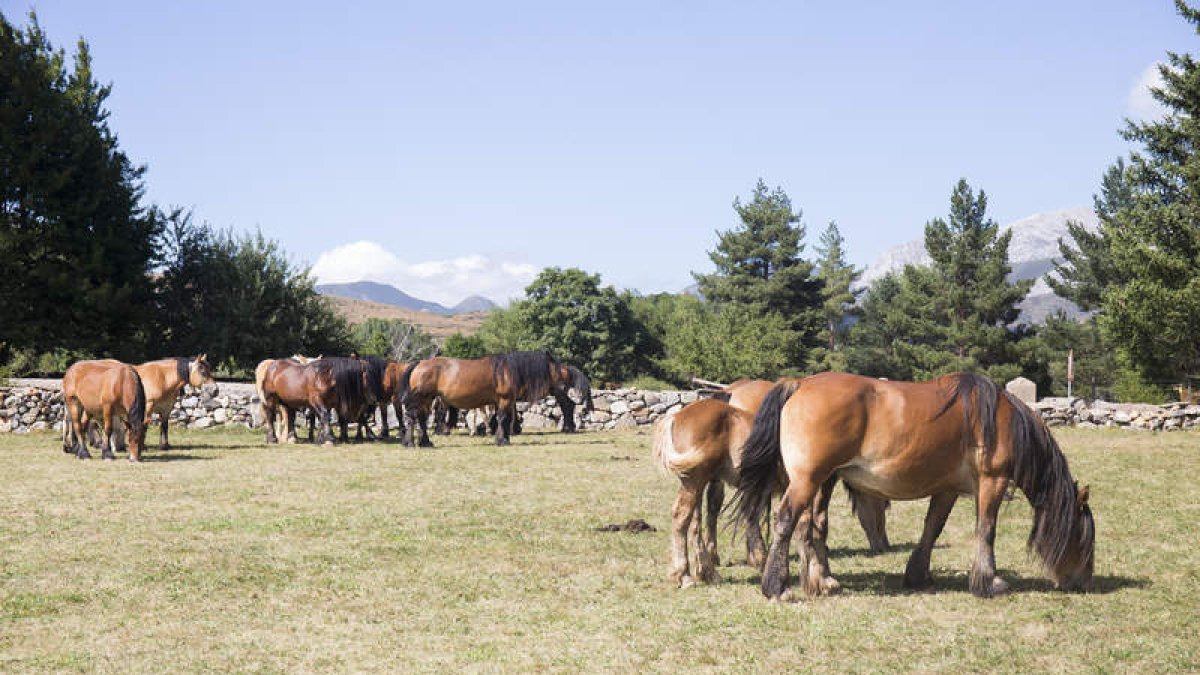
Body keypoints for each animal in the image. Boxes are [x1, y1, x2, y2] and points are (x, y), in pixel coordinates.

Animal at [398, 351, 585, 447]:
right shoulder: (504, 399)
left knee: (421, 419)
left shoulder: (505, 401)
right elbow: (503, 418)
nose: (569, 374)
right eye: (557, 366)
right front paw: (502, 440)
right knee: (412, 418)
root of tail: (420, 363)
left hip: (427, 399)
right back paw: (411, 442)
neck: (509, 370)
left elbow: (504, 418)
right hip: (421, 398)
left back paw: (425, 442)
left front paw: (504, 437)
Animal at [733, 372, 1095, 601]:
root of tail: (798, 384)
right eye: (1083, 539)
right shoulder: (992, 482)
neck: (1000, 419)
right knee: (786, 521)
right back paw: (776, 587)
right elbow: (986, 530)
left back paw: (821, 580)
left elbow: (932, 529)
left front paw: (918, 575)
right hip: (808, 480)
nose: (1083, 581)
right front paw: (988, 582)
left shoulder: (947, 490)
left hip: (822, 482)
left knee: (812, 526)